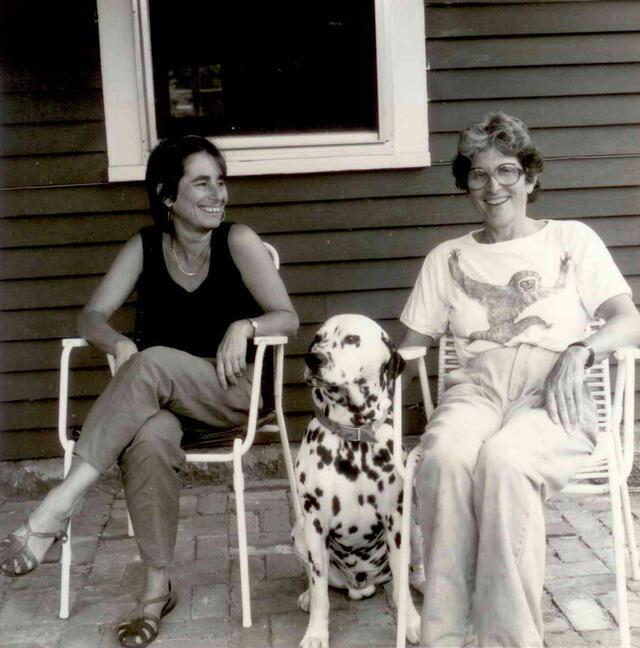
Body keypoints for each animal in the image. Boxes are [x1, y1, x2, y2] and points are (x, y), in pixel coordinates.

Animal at [292, 314, 422, 648]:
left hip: (414, 529)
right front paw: (316, 633)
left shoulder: (396, 520)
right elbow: (320, 591)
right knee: (316, 582)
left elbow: (402, 581)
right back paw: (306, 596)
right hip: (298, 532)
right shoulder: (314, 524)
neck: (354, 438)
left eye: (352, 339)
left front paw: (411, 621)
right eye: (318, 338)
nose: (313, 359)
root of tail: (361, 585)